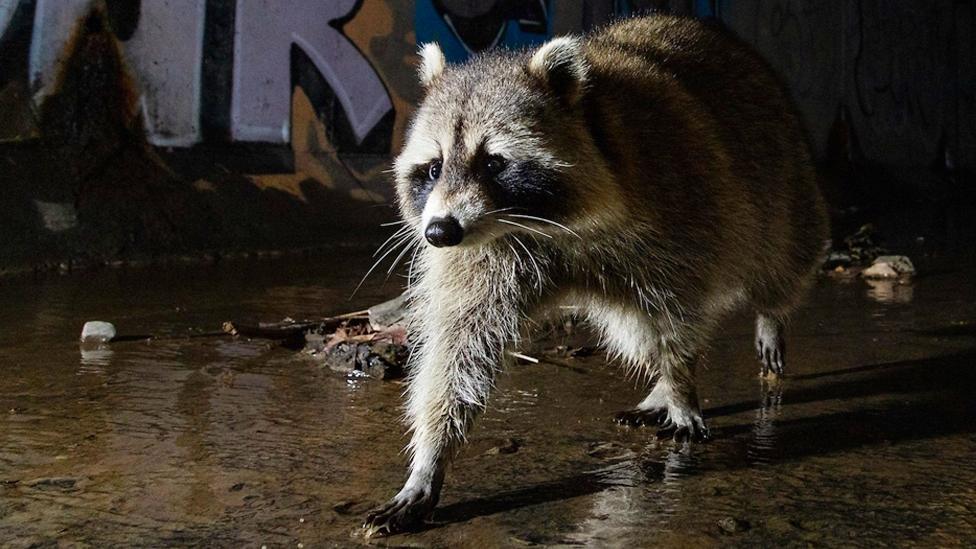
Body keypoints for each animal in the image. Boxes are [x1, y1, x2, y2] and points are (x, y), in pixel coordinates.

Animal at [362, 13, 828, 536]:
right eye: (433, 167)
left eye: (494, 162)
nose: (439, 232)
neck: (539, 223)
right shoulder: (482, 254)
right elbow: (458, 348)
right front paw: (429, 459)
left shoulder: (678, 209)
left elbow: (678, 317)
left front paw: (681, 383)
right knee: (633, 330)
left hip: (778, 175)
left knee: (778, 254)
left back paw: (766, 315)